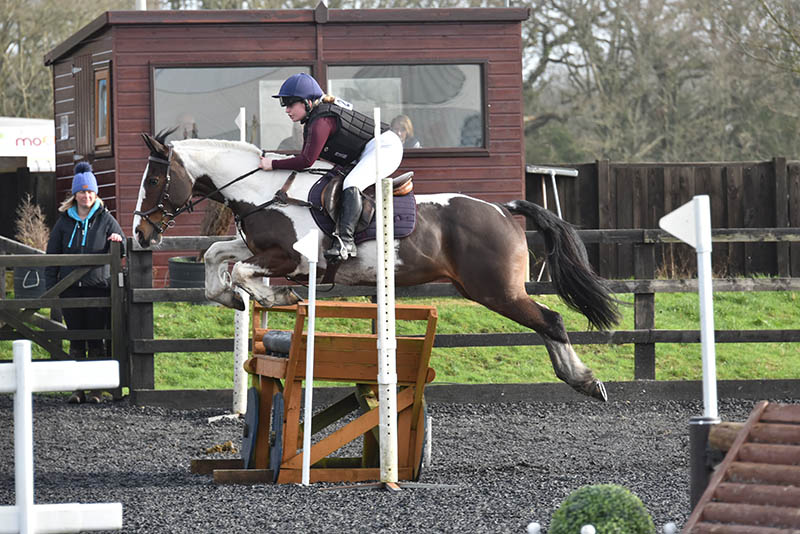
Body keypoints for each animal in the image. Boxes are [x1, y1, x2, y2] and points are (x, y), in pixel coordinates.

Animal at [133, 133, 620, 402]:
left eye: (154, 180)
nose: (141, 234)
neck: (265, 191)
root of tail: (502, 210)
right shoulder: (257, 246)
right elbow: (217, 255)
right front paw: (232, 299)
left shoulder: (293, 259)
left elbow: (242, 271)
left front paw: (274, 294)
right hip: (490, 290)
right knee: (546, 322)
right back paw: (578, 379)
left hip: (496, 290)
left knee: (551, 320)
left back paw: (585, 380)